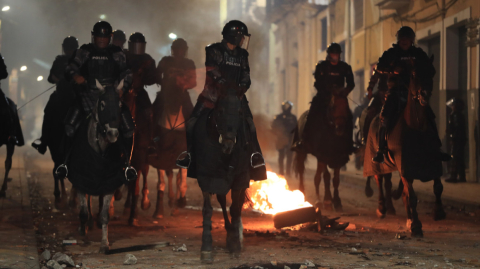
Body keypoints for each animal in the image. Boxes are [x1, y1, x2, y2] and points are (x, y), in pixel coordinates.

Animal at [65, 79, 132, 251]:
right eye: (102, 104)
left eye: (120, 104)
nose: (113, 133)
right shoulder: (81, 180)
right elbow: (83, 212)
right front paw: (83, 235)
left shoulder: (109, 183)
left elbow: (104, 215)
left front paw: (104, 243)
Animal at [148, 87, 193, 217]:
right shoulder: (160, 157)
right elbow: (161, 182)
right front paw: (158, 211)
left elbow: (181, 182)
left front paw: (181, 201)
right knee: (170, 175)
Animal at [364, 57, 446, 236]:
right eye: (414, 74)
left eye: (432, 72)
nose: (424, 95)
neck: (416, 126)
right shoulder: (405, 167)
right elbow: (412, 196)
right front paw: (415, 224)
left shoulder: (433, 163)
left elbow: (438, 186)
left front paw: (438, 211)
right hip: (377, 162)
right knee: (379, 179)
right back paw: (382, 207)